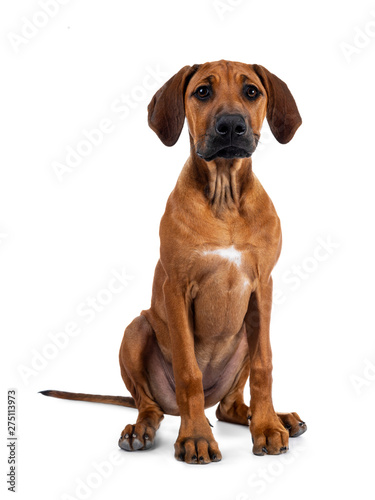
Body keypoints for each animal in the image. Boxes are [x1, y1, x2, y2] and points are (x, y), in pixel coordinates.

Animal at [41, 59, 306, 464]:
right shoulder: (177, 289)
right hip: (137, 329)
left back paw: (279, 418)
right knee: (149, 404)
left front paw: (267, 427)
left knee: (229, 407)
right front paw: (195, 438)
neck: (224, 197)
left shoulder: (263, 288)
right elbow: (188, 372)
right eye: (202, 92)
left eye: (251, 91)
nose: (231, 125)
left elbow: (265, 366)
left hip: (244, 336)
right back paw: (141, 430)